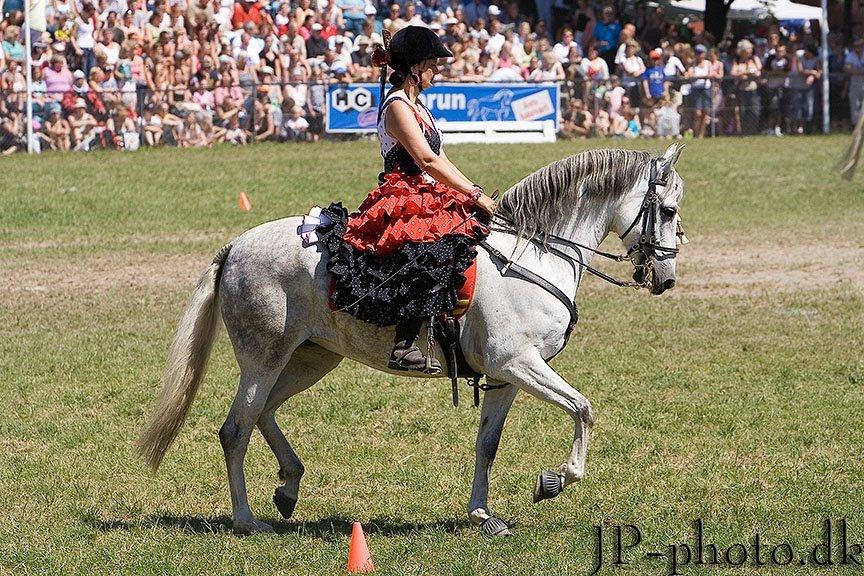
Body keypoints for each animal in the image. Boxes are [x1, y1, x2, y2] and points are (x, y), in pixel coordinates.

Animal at [137, 143, 688, 536]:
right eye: (666, 210)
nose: (665, 279)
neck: (532, 255)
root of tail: (235, 246)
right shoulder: (517, 363)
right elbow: (583, 408)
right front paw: (554, 481)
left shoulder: (505, 378)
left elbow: (487, 444)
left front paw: (483, 515)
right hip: (263, 358)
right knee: (236, 429)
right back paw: (247, 520)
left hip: (311, 359)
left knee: (264, 413)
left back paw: (288, 488)